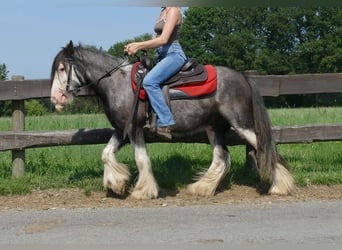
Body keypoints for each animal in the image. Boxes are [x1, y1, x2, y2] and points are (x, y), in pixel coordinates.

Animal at [50, 41, 294, 201]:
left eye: (62, 68)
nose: (56, 99)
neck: (117, 83)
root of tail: (243, 77)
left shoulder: (135, 129)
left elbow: (141, 159)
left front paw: (143, 191)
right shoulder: (121, 129)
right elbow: (106, 153)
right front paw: (116, 184)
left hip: (242, 124)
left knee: (266, 147)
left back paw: (280, 187)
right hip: (214, 127)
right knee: (222, 157)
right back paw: (202, 188)